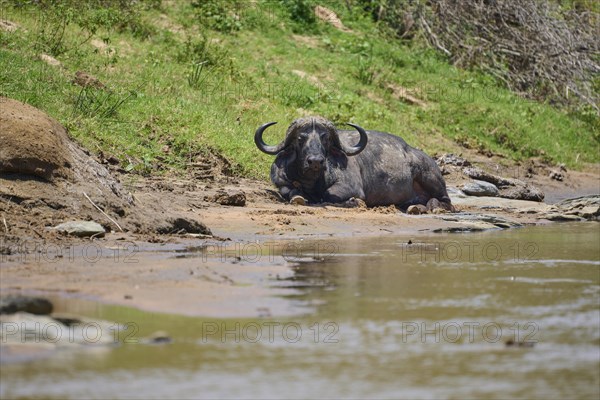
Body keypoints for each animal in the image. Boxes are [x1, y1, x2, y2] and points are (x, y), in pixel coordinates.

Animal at [254, 115, 454, 211]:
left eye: (325, 138)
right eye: (300, 138)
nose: (315, 161)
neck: (312, 181)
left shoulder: (351, 186)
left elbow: (327, 194)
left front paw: (352, 202)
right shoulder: (281, 182)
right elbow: (288, 191)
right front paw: (298, 196)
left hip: (429, 175)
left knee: (447, 201)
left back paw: (432, 207)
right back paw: (415, 207)